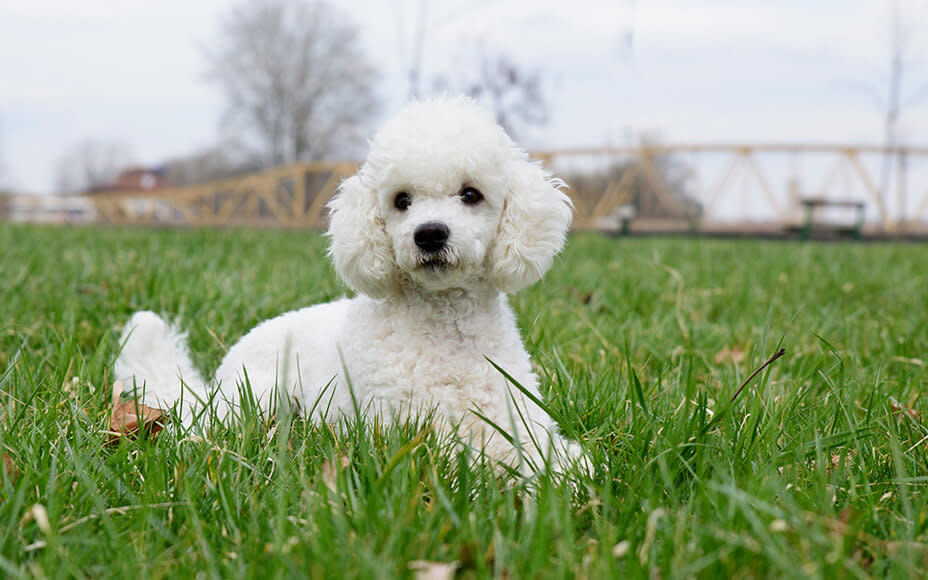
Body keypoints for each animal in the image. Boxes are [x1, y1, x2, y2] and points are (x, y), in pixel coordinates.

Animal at [114, 96, 580, 472]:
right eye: (401, 200)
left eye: (471, 194)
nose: (429, 234)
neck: (445, 327)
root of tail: (217, 380)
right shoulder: (410, 428)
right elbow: (465, 455)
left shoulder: (517, 413)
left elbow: (555, 456)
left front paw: (566, 476)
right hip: (254, 398)